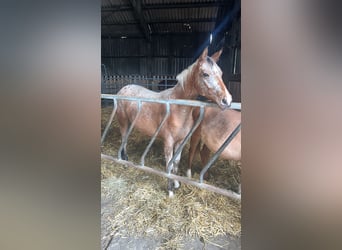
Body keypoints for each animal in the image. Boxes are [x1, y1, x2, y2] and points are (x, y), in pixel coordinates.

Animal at [115, 47, 232, 197]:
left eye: (221, 73)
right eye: (205, 74)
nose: (227, 100)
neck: (178, 108)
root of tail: (122, 89)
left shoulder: (180, 142)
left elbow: (176, 162)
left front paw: (176, 184)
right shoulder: (168, 142)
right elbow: (169, 165)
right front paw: (170, 190)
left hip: (130, 124)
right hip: (123, 123)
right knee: (123, 141)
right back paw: (124, 163)